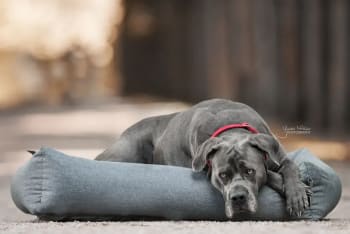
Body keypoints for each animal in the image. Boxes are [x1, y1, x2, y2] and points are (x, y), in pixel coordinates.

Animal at [95, 98, 308, 218]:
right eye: (222, 175)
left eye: (250, 171)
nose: (238, 197)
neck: (231, 127)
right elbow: (271, 175)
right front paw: (298, 189)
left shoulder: (278, 154)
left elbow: (290, 166)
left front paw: (297, 194)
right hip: (127, 151)